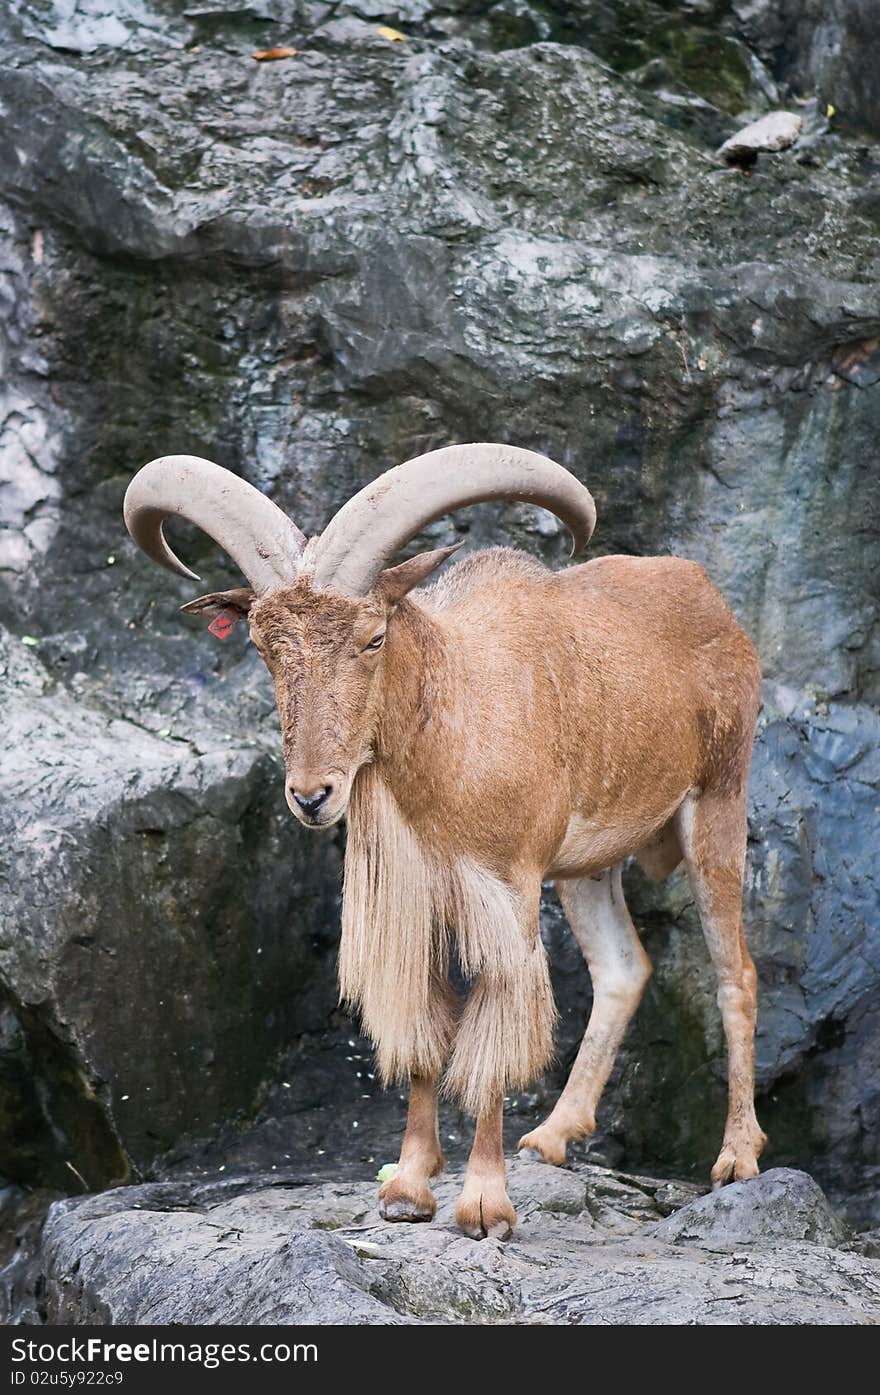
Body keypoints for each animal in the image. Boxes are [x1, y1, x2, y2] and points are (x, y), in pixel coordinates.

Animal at [124, 440, 764, 1238]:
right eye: (264, 647)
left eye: (373, 636)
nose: (311, 796)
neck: (451, 722)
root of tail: (714, 601)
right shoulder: (419, 898)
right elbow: (428, 1029)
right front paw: (408, 1187)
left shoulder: (508, 891)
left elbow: (492, 1031)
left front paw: (484, 1203)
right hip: (587, 865)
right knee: (624, 967)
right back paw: (554, 1135)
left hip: (718, 802)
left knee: (736, 974)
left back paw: (737, 1157)